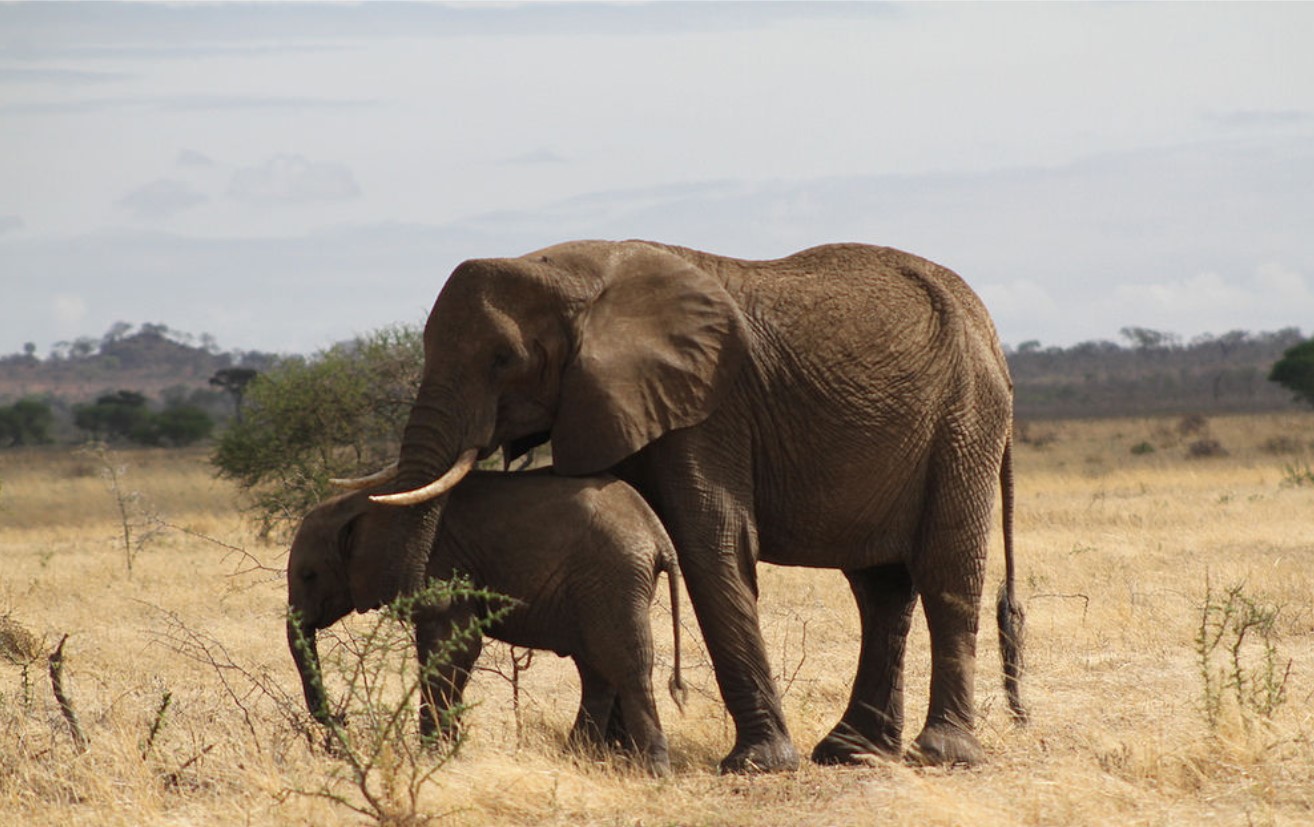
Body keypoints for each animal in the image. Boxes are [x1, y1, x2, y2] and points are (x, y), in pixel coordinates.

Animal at [286, 469, 686, 775]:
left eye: (309, 575)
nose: (340, 719)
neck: (367, 503)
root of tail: (658, 534)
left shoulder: (441, 562)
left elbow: (454, 647)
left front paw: (433, 757)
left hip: (612, 577)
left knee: (626, 666)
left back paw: (654, 773)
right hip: (595, 588)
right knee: (596, 670)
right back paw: (574, 757)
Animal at [345, 239, 1025, 773]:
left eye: (503, 360)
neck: (584, 273)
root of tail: (991, 332)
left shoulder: (709, 408)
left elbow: (712, 543)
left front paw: (756, 767)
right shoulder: (612, 400)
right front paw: (612, 757)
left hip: (964, 421)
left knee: (945, 572)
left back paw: (941, 755)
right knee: (880, 589)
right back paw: (851, 753)